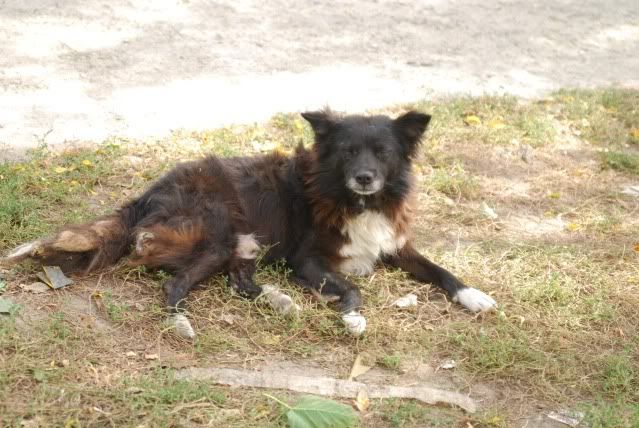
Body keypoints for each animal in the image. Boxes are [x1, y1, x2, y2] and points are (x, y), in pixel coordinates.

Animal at [2, 110, 498, 338]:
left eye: (383, 153)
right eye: (347, 152)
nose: (364, 176)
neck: (357, 201)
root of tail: (147, 194)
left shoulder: (396, 243)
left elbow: (440, 270)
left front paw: (473, 295)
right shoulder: (307, 260)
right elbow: (353, 287)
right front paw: (353, 316)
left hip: (245, 243)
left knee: (238, 281)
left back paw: (279, 300)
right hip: (222, 234)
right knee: (176, 285)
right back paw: (182, 323)